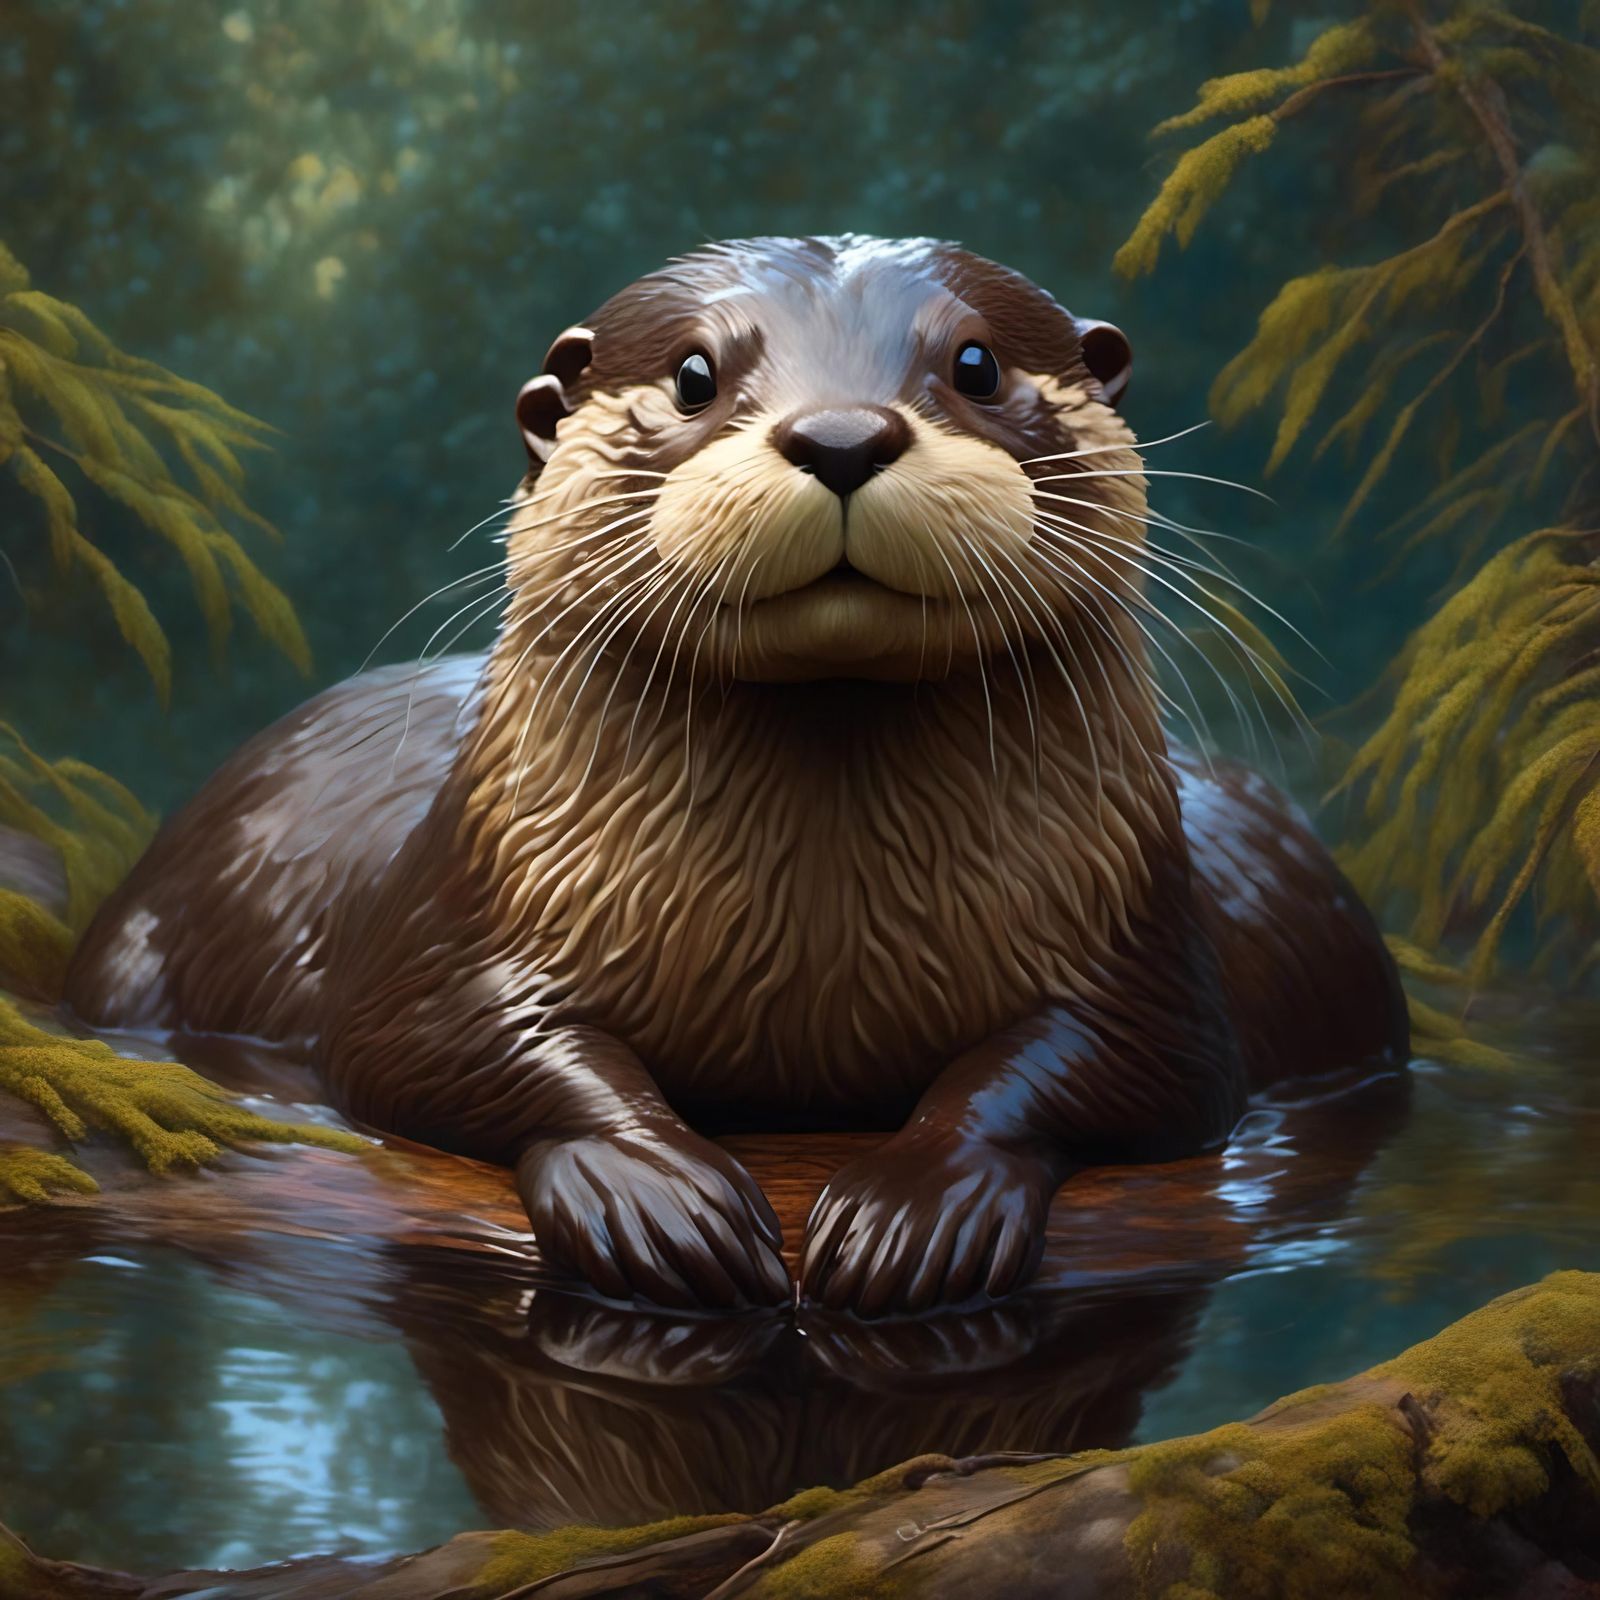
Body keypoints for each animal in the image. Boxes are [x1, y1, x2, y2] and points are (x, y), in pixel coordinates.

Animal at [66, 235, 1407, 1316]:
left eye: (974, 365)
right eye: (694, 375)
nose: (842, 434)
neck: (814, 955)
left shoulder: (1144, 944)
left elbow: (1109, 1064)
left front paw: (916, 1203)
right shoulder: (448, 918)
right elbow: (431, 1045)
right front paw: (654, 1187)